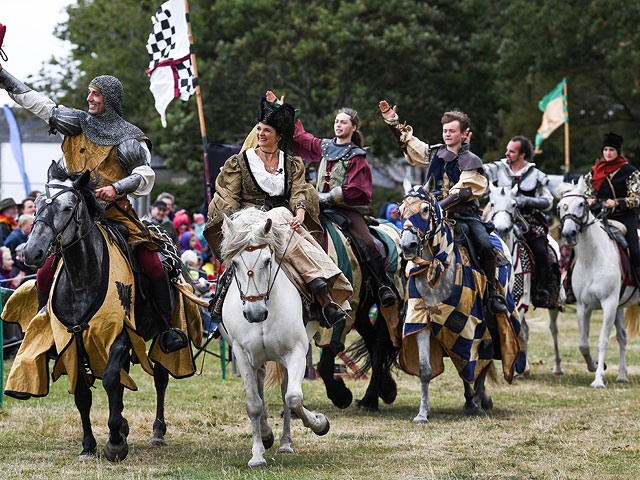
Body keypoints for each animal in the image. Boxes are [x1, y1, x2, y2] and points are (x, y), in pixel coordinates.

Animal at [220, 207, 330, 468]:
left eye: (268, 261)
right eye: (235, 263)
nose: (255, 313)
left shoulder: (296, 351)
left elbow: (293, 397)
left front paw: (319, 423)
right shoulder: (242, 355)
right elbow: (253, 404)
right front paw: (257, 454)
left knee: (285, 393)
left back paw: (285, 443)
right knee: (260, 390)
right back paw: (267, 434)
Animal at [490, 184, 564, 376]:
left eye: (514, 204)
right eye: (492, 203)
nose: (501, 229)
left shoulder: (520, 297)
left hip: (555, 302)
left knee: (553, 330)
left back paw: (557, 367)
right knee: (526, 329)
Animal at [556, 178, 636, 388]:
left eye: (581, 204)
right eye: (560, 206)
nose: (569, 234)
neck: (593, 258)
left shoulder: (608, 304)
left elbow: (602, 341)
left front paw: (598, 379)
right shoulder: (584, 306)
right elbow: (583, 344)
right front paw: (594, 366)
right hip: (619, 308)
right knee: (622, 337)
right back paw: (622, 376)